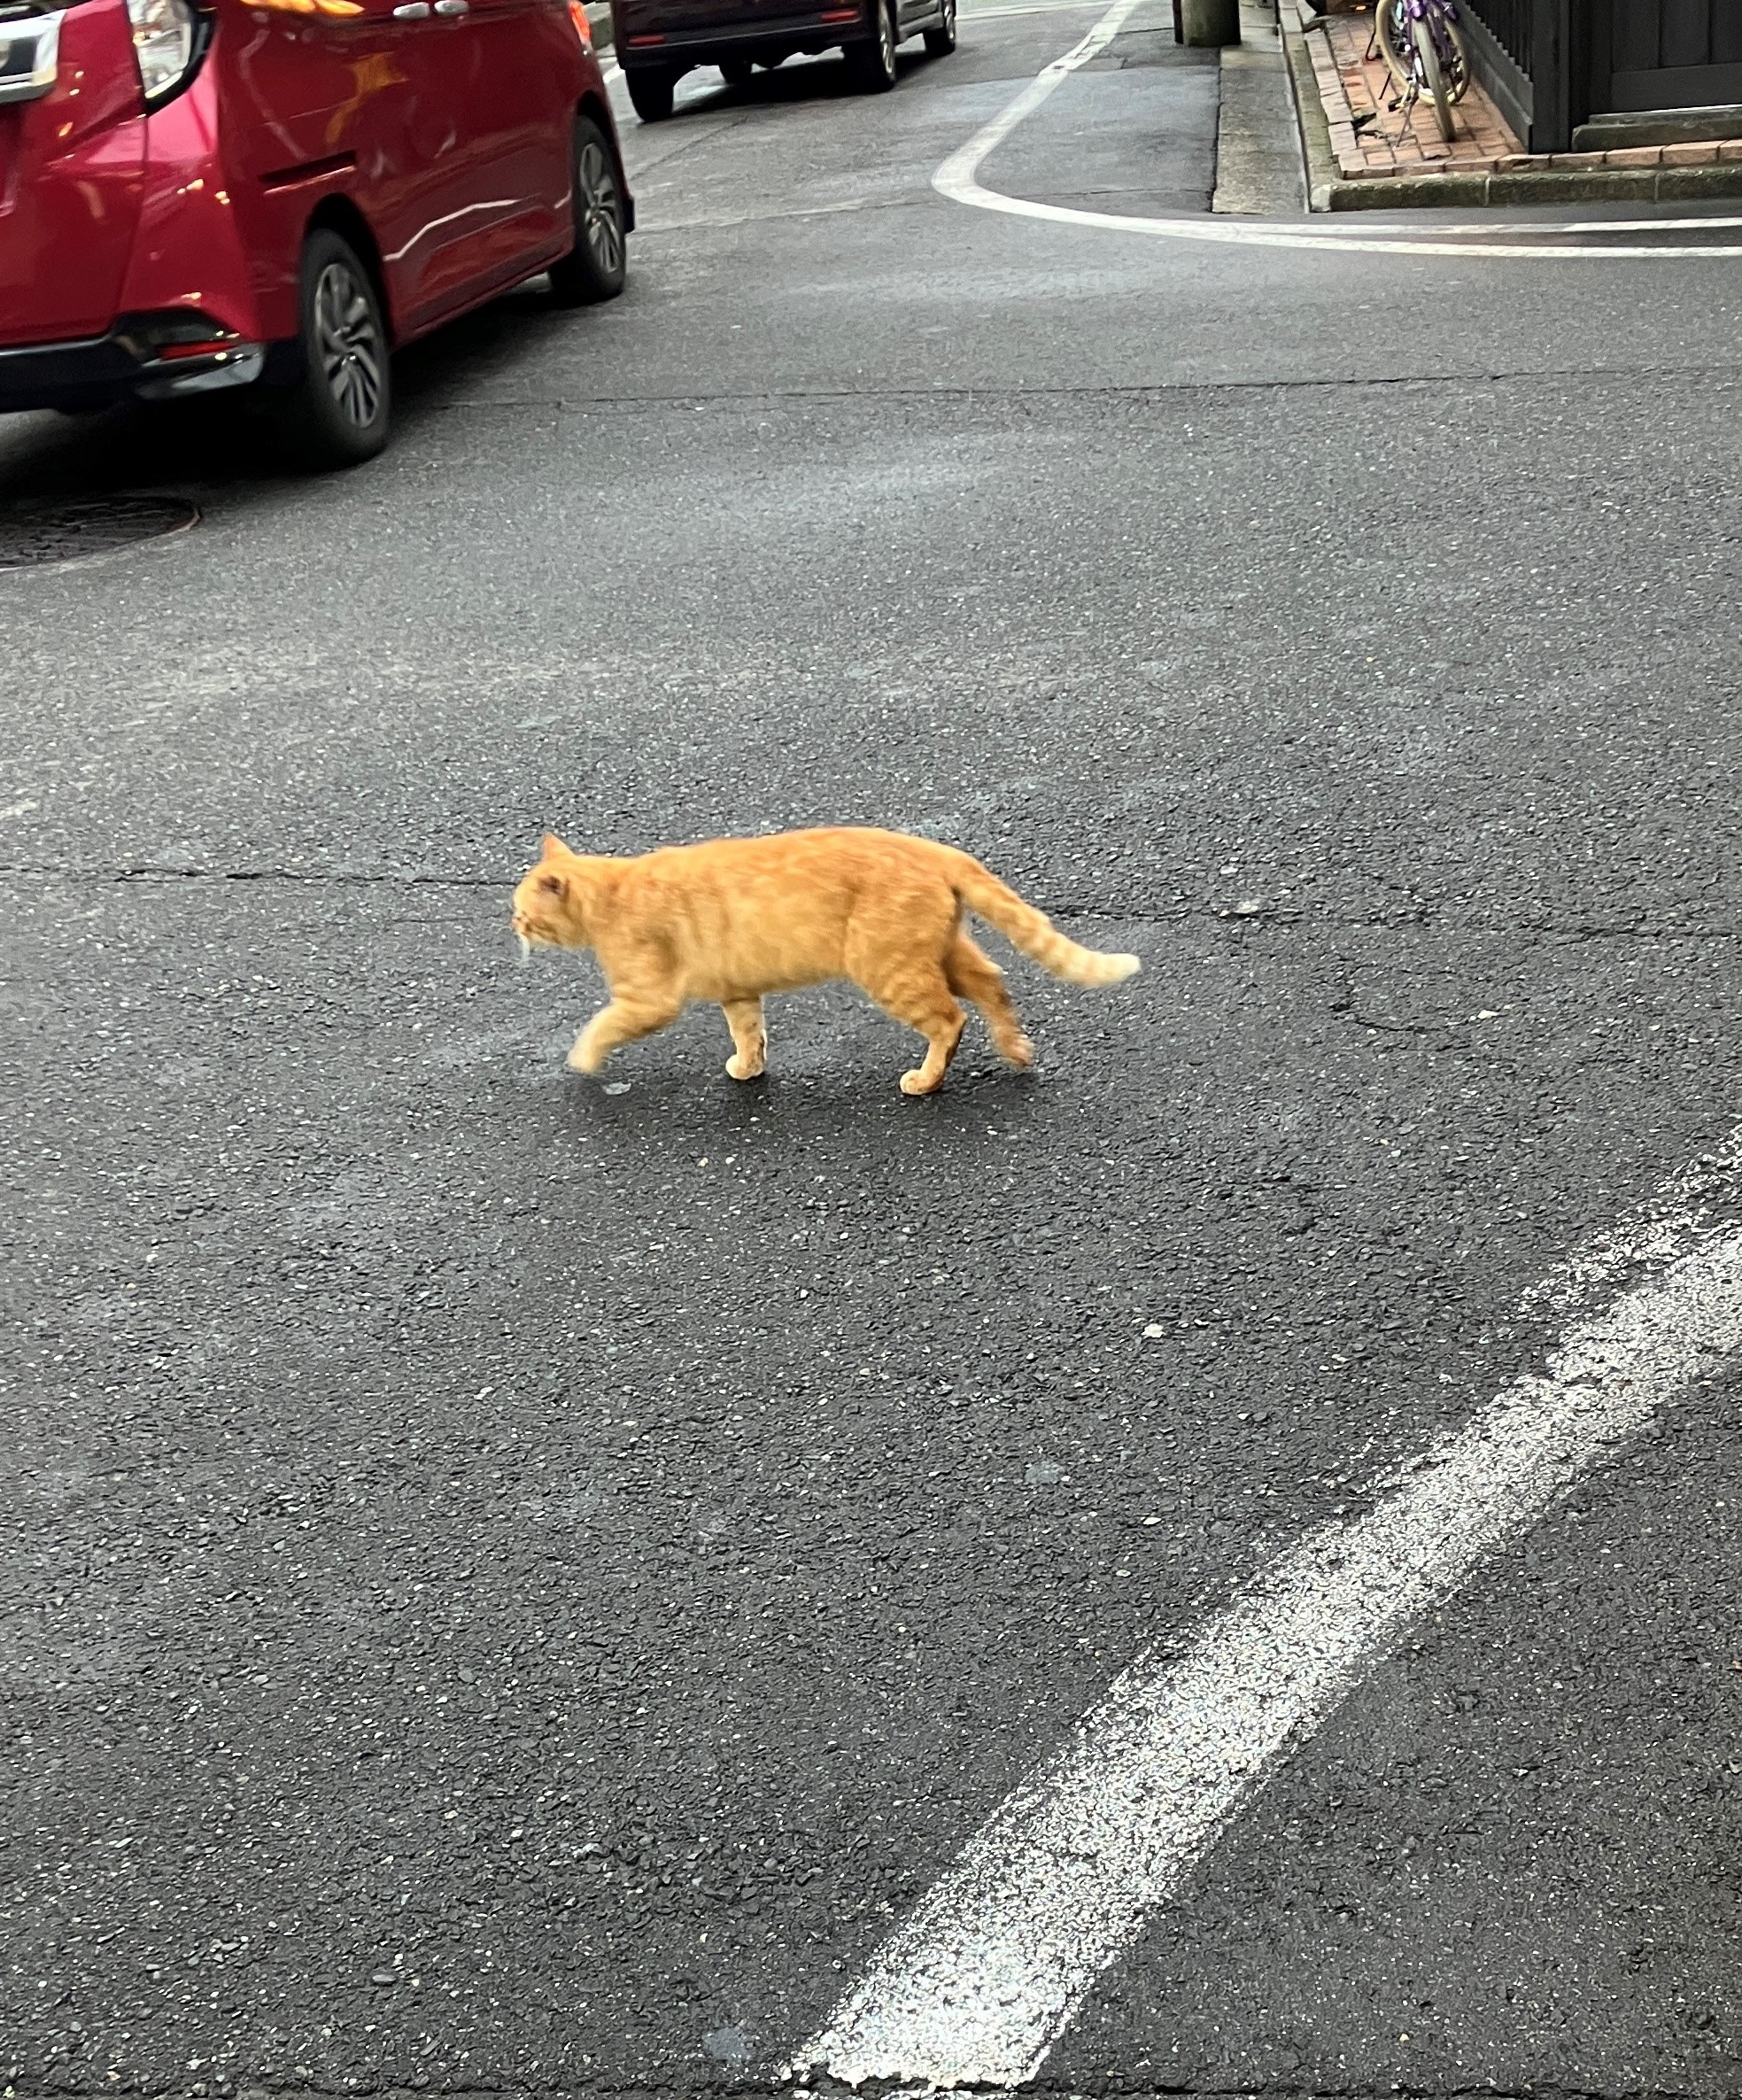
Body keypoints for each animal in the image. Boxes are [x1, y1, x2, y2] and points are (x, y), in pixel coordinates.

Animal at [507, 827, 1142, 1100]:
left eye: (521, 913)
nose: (512, 928)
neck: (611, 892)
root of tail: (934, 847)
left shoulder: (648, 999)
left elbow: (599, 1026)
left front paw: (581, 1061)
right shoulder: (737, 989)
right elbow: (749, 1032)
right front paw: (748, 1068)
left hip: (888, 968)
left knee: (949, 1020)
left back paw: (926, 1080)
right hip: (939, 953)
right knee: (993, 986)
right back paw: (1016, 1051)